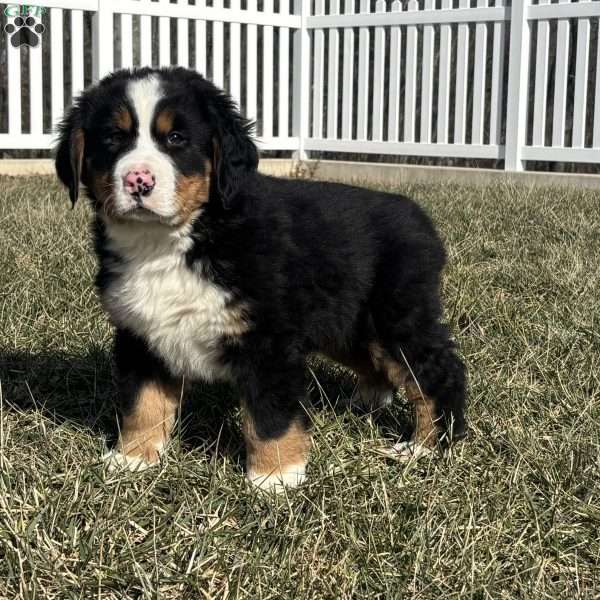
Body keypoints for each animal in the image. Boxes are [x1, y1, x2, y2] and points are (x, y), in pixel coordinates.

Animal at [55, 68, 468, 490]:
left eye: (176, 139)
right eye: (112, 138)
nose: (139, 180)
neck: (169, 242)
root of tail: (419, 217)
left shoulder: (268, 338)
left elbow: (270, 414)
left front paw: (275, 476)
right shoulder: (141, 333)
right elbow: (143, 402)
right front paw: (133, 458)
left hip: (395, 317)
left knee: (438, 372)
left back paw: (424, 446)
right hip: (347, 324)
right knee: (376, 364)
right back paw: (365, 402)